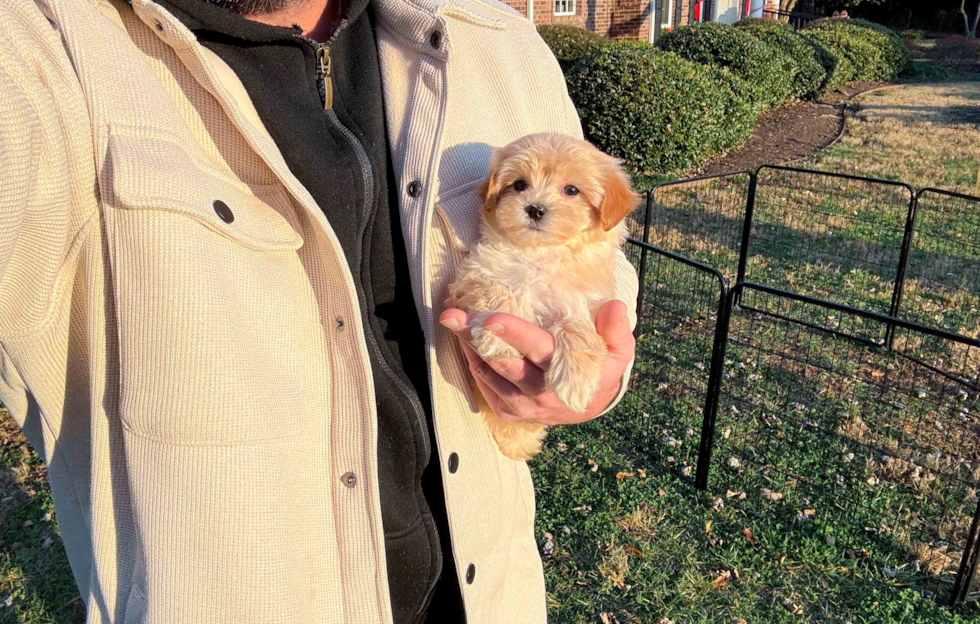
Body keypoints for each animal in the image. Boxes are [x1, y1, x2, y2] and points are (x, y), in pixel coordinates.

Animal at [450, 134, 640, 460]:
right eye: (519, 185)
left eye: (571, 190)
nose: (535, 209)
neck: (539, 254)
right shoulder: (471, 275)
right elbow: (495, 291)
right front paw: (498, 336)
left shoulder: (587, 301)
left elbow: (576, 327)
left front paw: (574, 381)